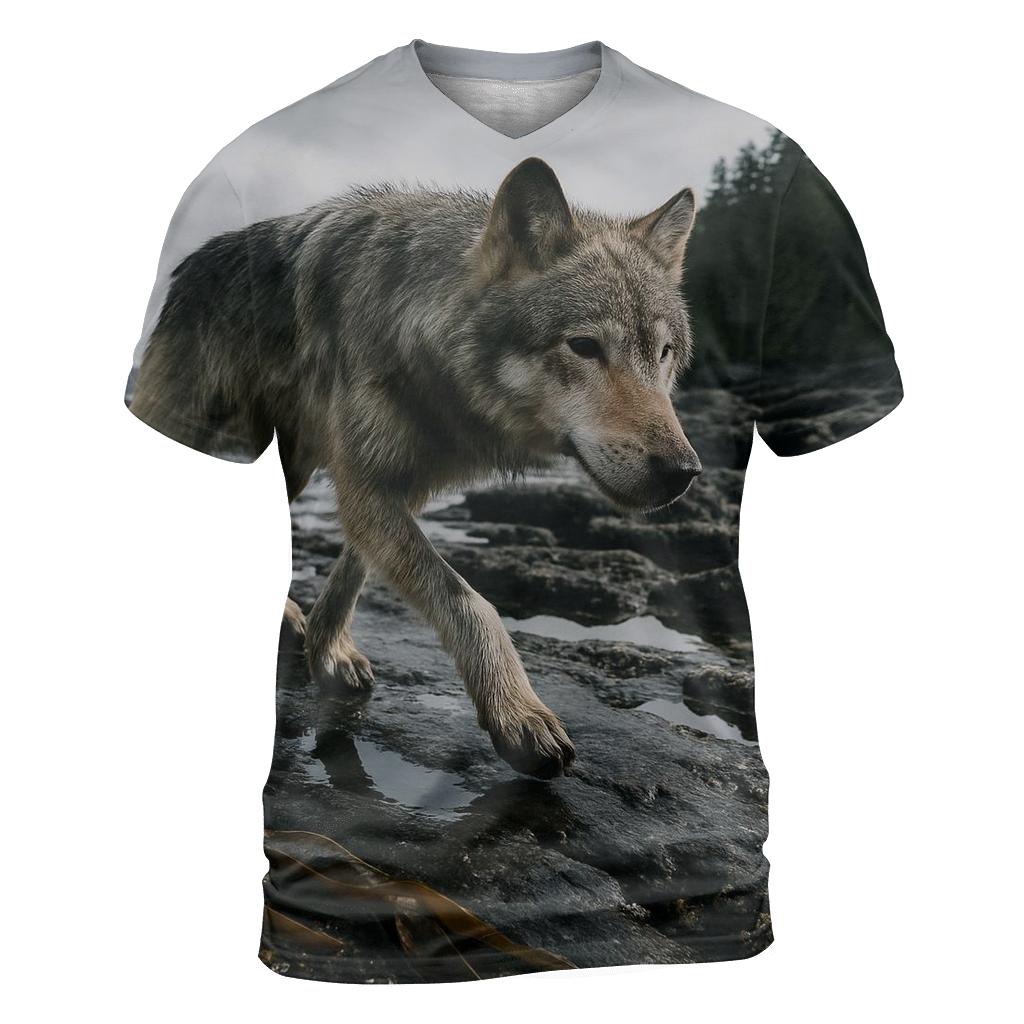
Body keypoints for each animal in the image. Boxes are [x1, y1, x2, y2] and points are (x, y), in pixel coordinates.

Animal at [131, 158, 702, 778]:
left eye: (664, 353)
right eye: (584, 347)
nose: (683, 470)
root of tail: (188, 263)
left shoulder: (396, 484)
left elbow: (352, 576)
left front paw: (327, 652)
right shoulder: (368, 485)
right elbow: (469, 602)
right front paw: (517, 712)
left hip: (292, 465)